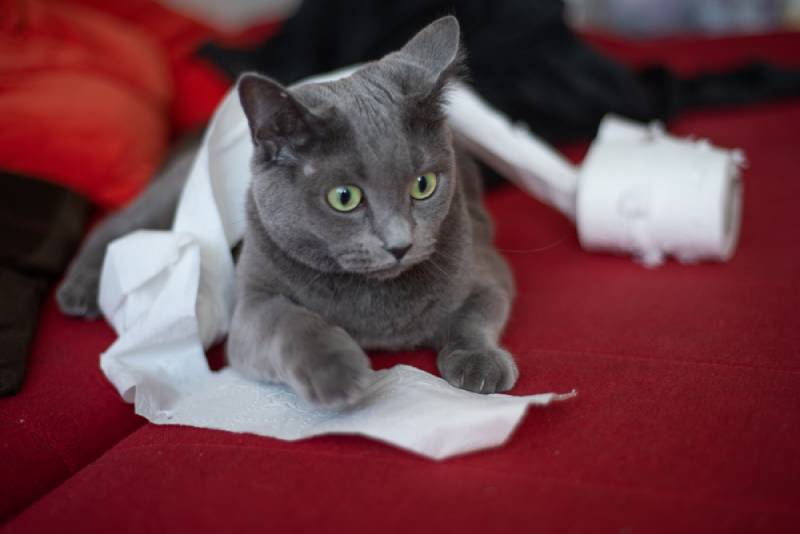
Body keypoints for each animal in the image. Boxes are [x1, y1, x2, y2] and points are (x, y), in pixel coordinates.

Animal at [56, 17, 520, 410]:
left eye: (423, 186)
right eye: (344, 197)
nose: (400, 244)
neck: (374, 307)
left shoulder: (485, 267)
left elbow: (475, 315)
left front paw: (481, 363)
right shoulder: (250, 307)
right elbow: (289, 320)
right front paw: (336, 371)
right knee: (121, 220)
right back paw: (81, 290)